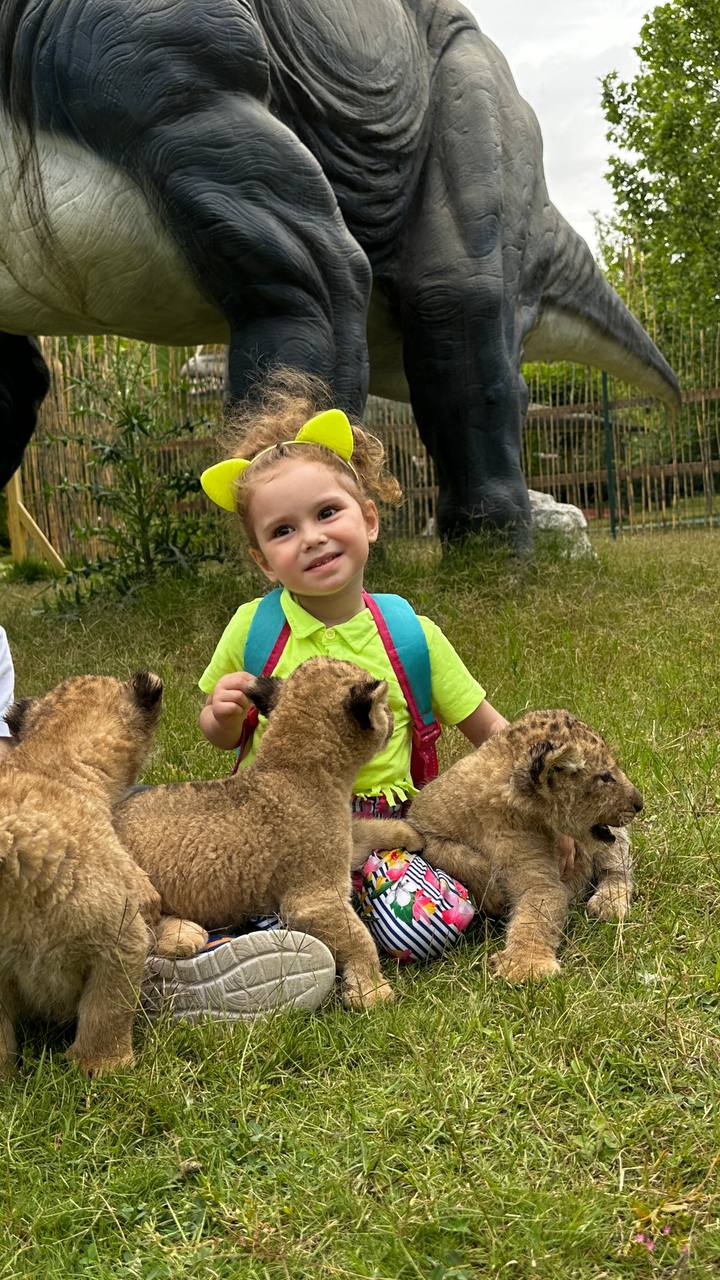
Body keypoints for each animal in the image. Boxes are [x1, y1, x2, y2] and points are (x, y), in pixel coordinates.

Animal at [352, 710, 644, 981]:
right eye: (605, 776)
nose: (641, 802)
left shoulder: (539, 878)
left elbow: (536, 916)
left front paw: (525, 964)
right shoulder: (422, 826)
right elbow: (451, 853)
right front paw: (493, 893)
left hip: (611, 843)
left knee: (618, 870)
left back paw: (608, 904)